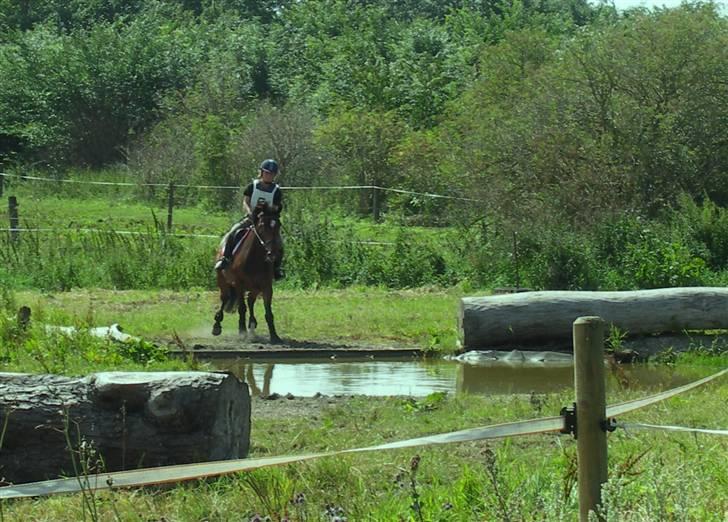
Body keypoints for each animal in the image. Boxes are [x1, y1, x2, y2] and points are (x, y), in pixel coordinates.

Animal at [212, 207, 282, 342]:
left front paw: (274, 336)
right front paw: (242, 331)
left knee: (250, 301)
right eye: (262, 225)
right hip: (223, 281)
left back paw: (252, 325)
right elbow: (242, 308)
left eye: (279, 225)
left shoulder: (266, 286)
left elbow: (268, 312)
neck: (254, 258)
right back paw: (217, 325)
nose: (273, 252)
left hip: (255, 288)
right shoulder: (239, 284)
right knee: (225, 299)